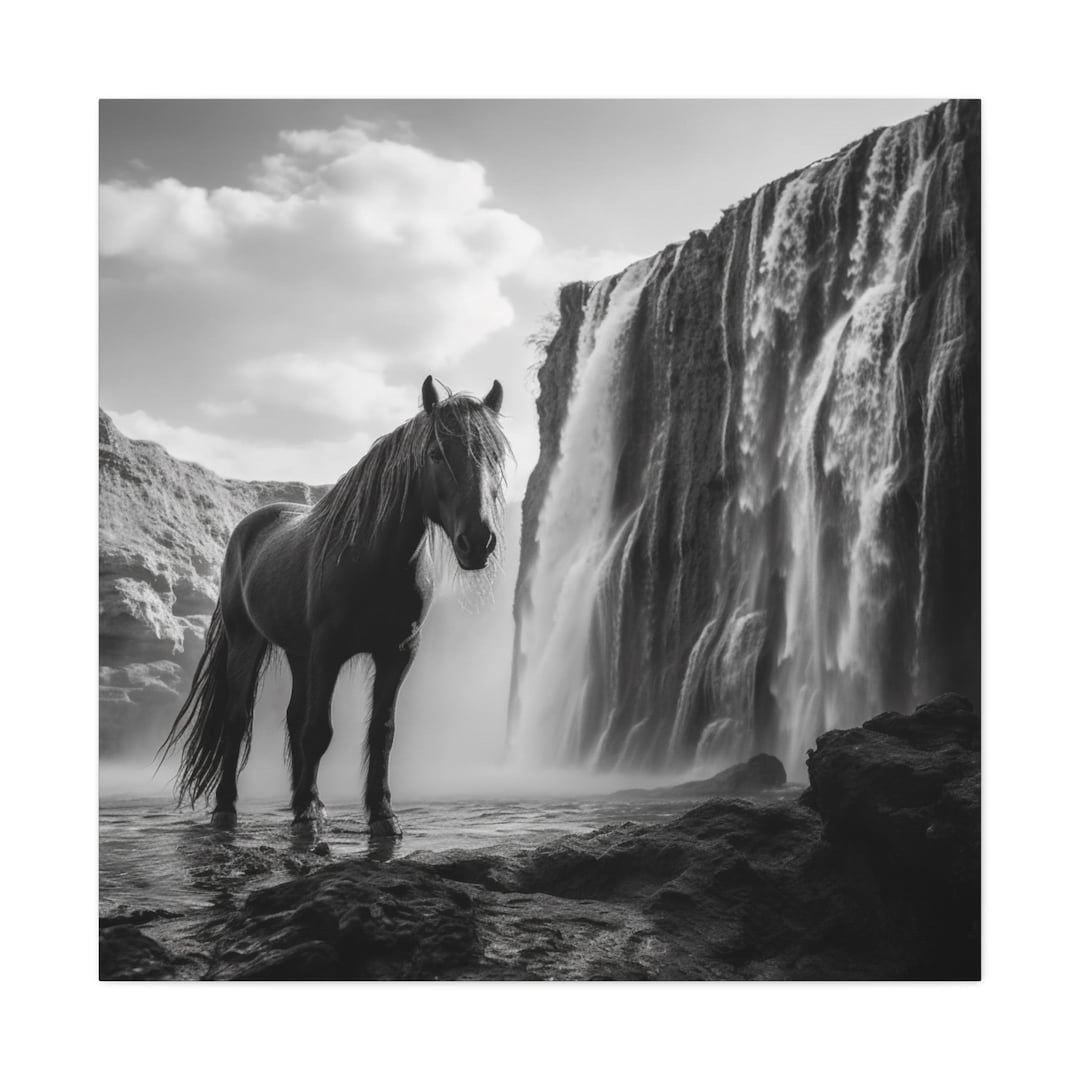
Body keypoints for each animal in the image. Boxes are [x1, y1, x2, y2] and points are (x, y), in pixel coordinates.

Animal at [159, 376, 509, 837]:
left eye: (495, 456)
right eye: (435, 453)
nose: (478, 541)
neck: (375, 562)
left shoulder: (397, 654)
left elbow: (381, 732)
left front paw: (381, 814)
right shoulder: (328, 651)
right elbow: (318, 732)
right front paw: (308, 813)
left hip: (297, 653)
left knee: (292, 718)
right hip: (246, 641)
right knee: (236, 721)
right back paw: (227, 809)